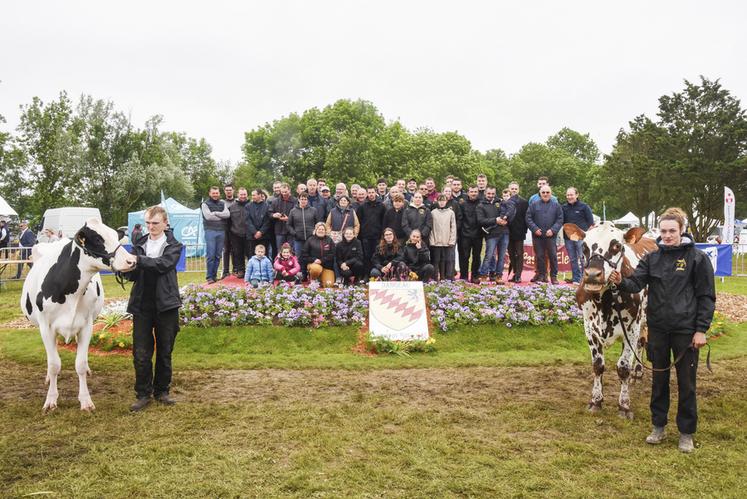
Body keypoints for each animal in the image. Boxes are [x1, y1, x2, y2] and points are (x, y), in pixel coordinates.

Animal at [20, 220, 136, 414]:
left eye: (115, 234)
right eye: (98, 239)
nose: (132, 261)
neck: (67, 289)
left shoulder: (86, 325)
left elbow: (80, 364)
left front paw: (86, 401)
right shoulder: (46, 328)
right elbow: (54, 365)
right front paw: (51, 400)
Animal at [564, 221, 656, 420]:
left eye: (617, 246)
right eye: (584, 246)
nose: (592, 274)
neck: (605, 301)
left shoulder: (631, 328)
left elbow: (623, 367)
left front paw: (624, 405)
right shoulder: (590, 328)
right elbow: (598, 365)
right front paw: (596, 401)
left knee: (642, 343)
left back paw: (638, 371)